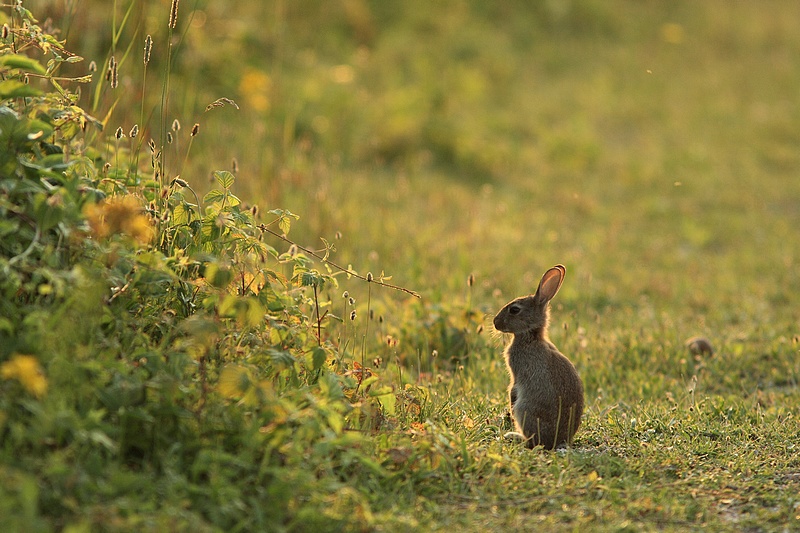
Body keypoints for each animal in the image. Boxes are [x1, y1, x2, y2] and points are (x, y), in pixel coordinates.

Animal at [490, 264, 584, 446]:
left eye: (514, 310)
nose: (495, 322)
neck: (531, 337)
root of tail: (556, 441)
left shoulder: (517, 372)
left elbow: (513, 387)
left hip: (525, 409)